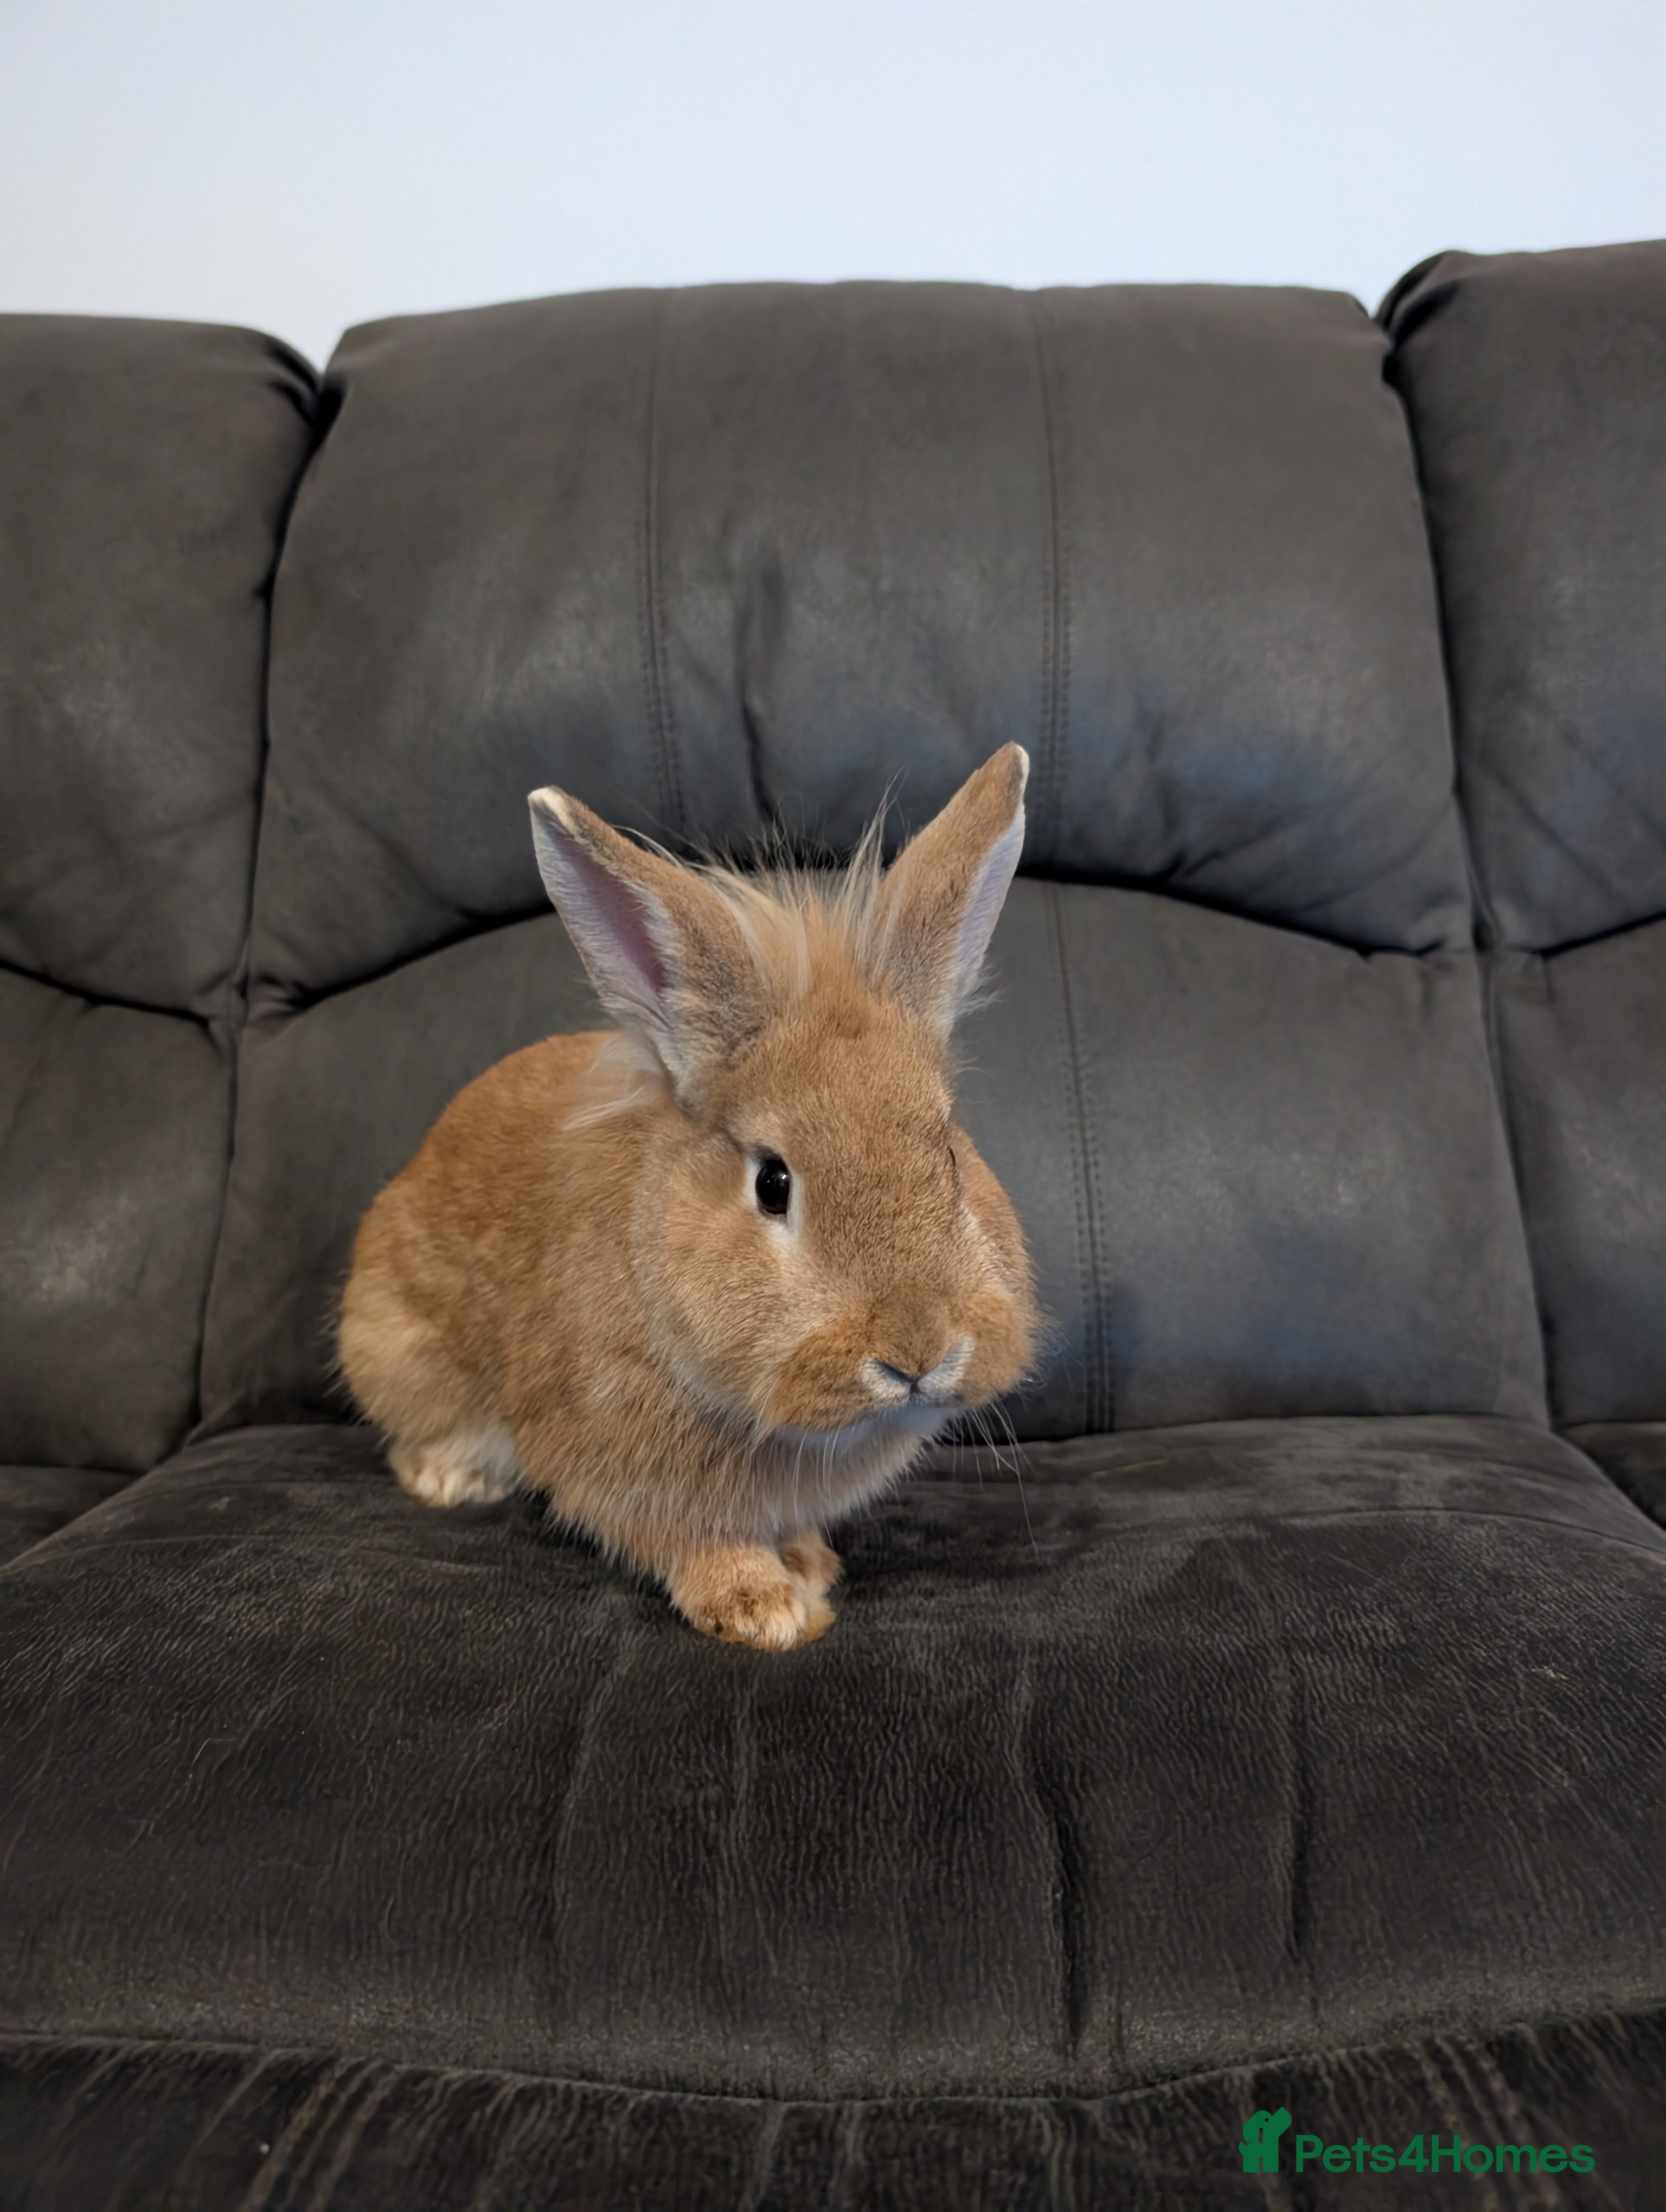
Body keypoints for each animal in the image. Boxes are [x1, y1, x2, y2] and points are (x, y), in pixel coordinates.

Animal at [338, 743, 1037, 1650]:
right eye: (773, 1182)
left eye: (948, 1150)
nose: (918, 1352)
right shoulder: (621, 1465)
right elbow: (690, 1540)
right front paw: (762, 1608)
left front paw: (809, 1565)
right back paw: (453, 1481)